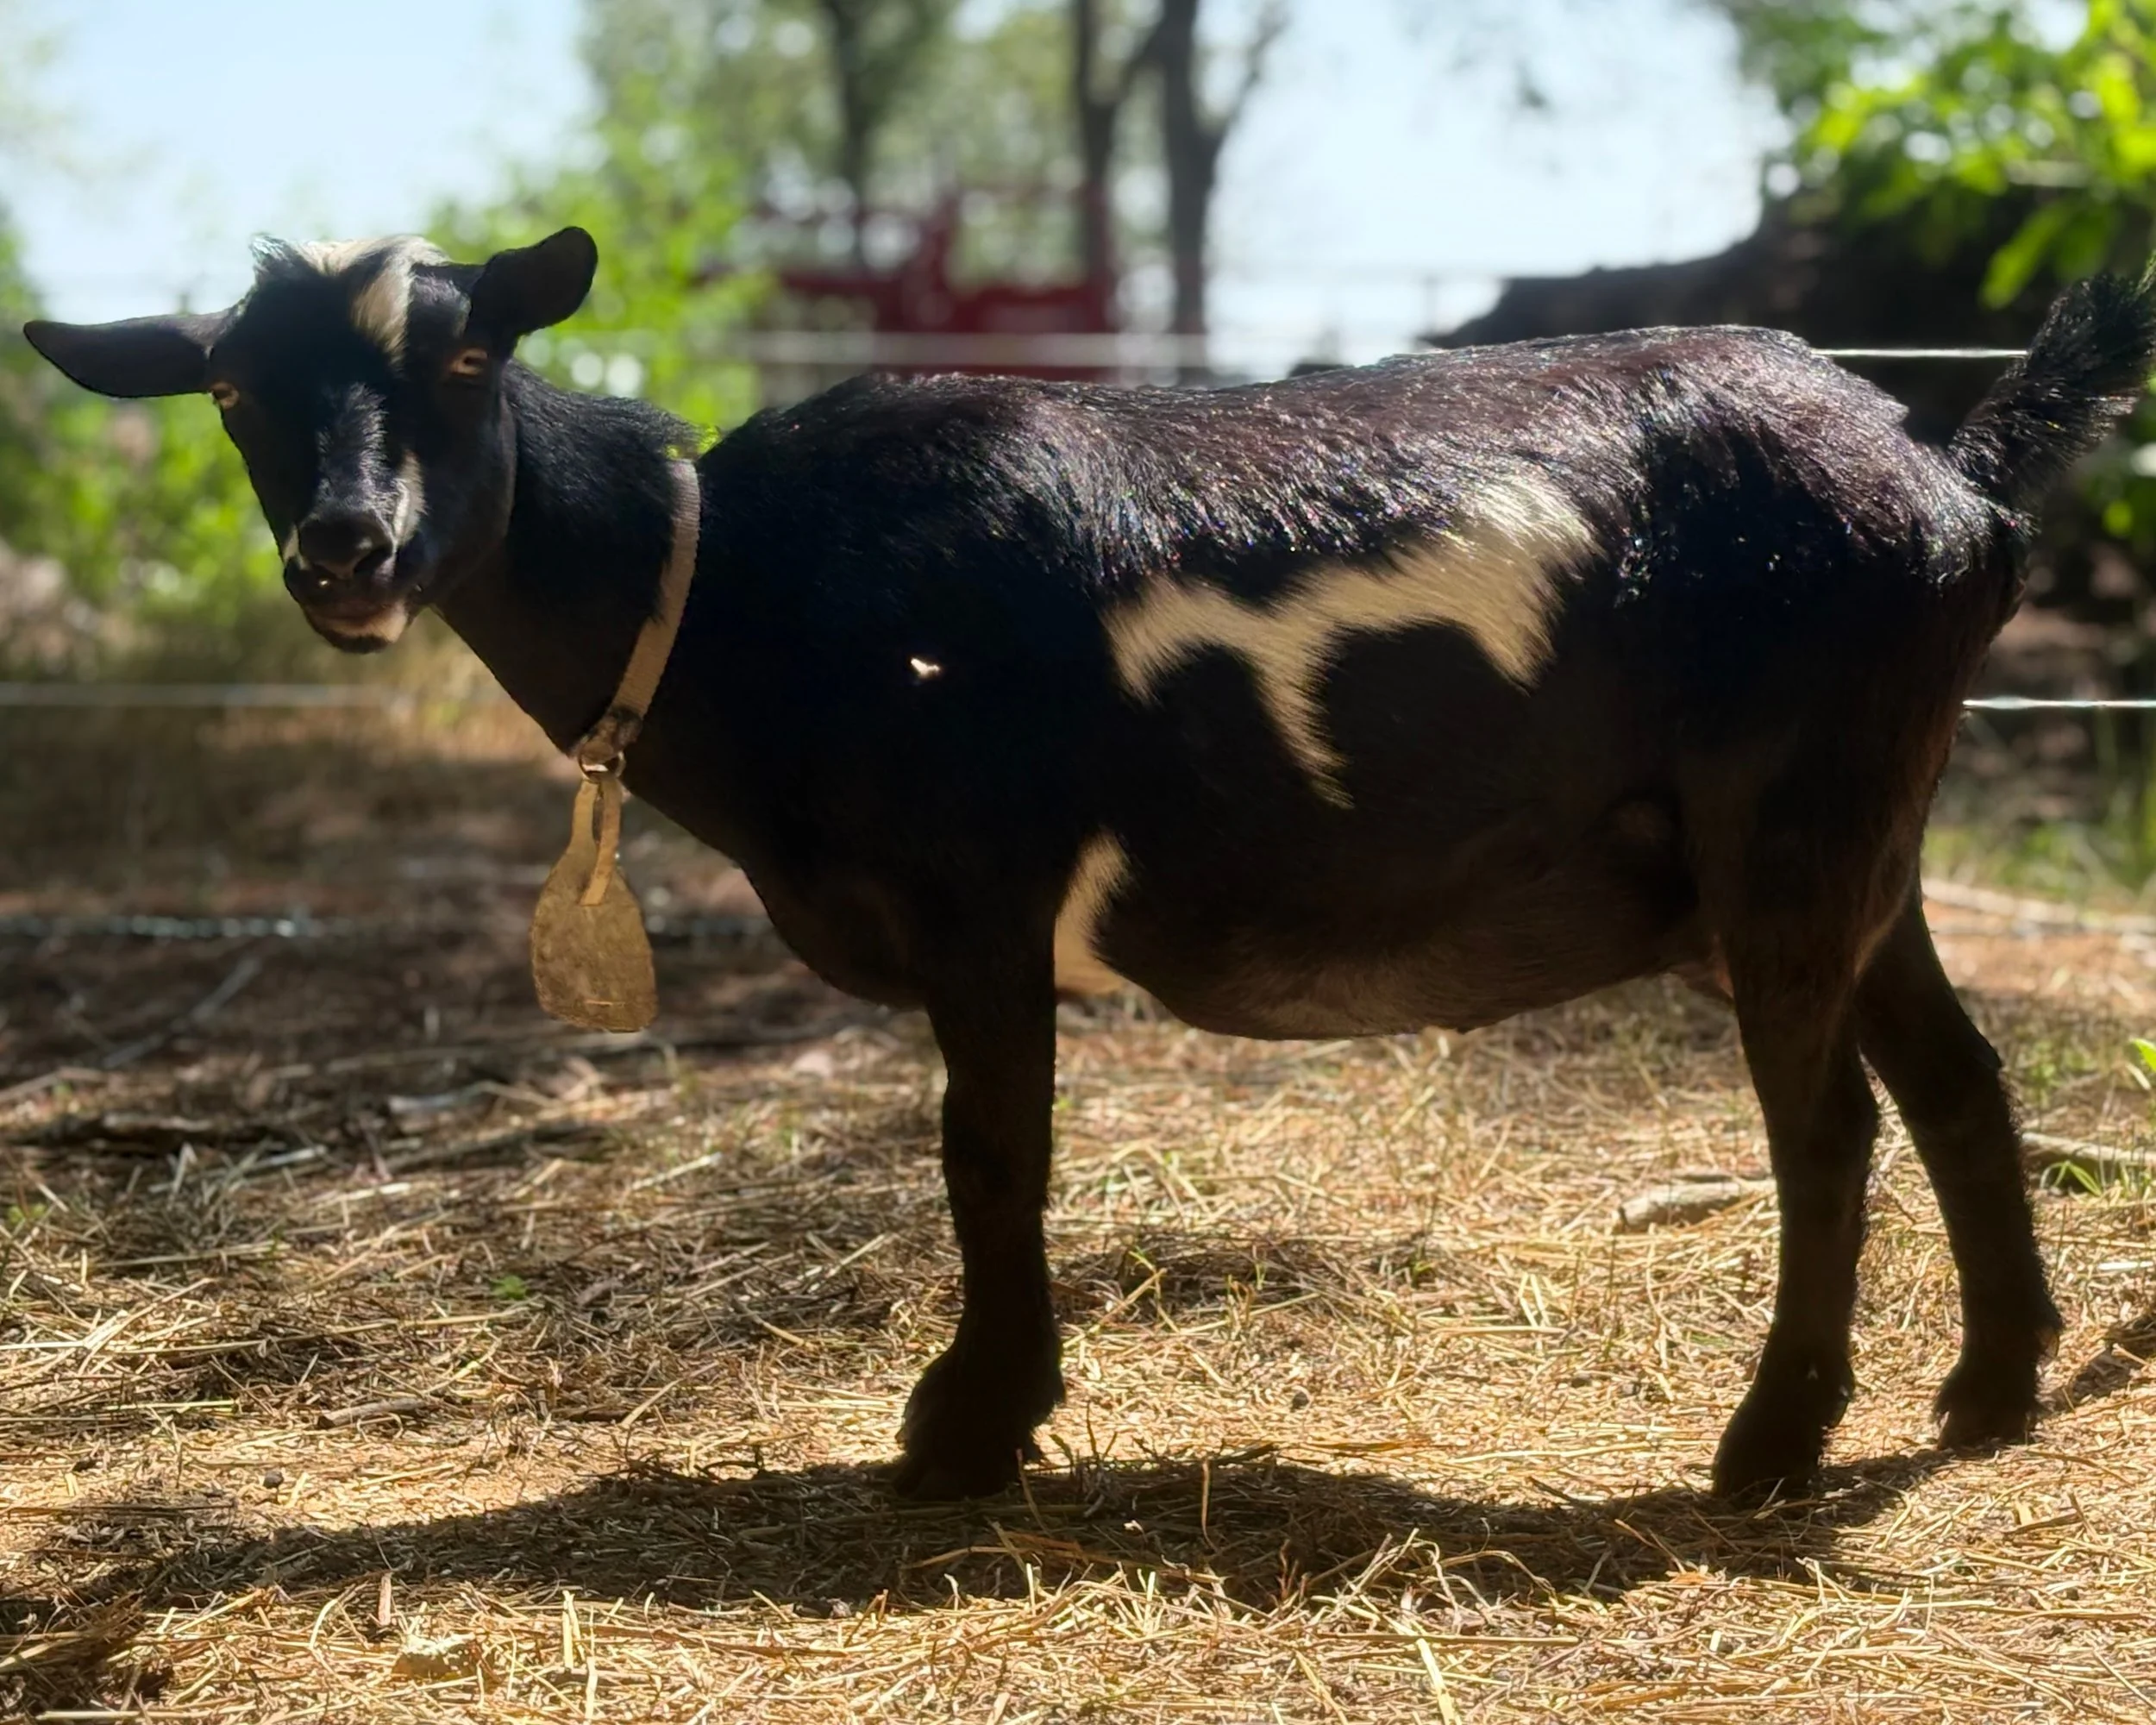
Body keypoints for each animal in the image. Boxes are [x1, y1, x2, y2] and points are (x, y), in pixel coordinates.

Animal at [26, 229, 2156, 1498]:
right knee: (1958, 1076)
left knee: (1828, 1123)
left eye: (465, 362)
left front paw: (965, 1428)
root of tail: (1950, 478)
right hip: (1863, 832)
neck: (738, 593)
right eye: (234, 390)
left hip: (1793, 812)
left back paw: (1772, 1442)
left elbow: (989, 1157)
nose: (346, 550)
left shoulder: (981, 889)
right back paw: (1986, 1390)